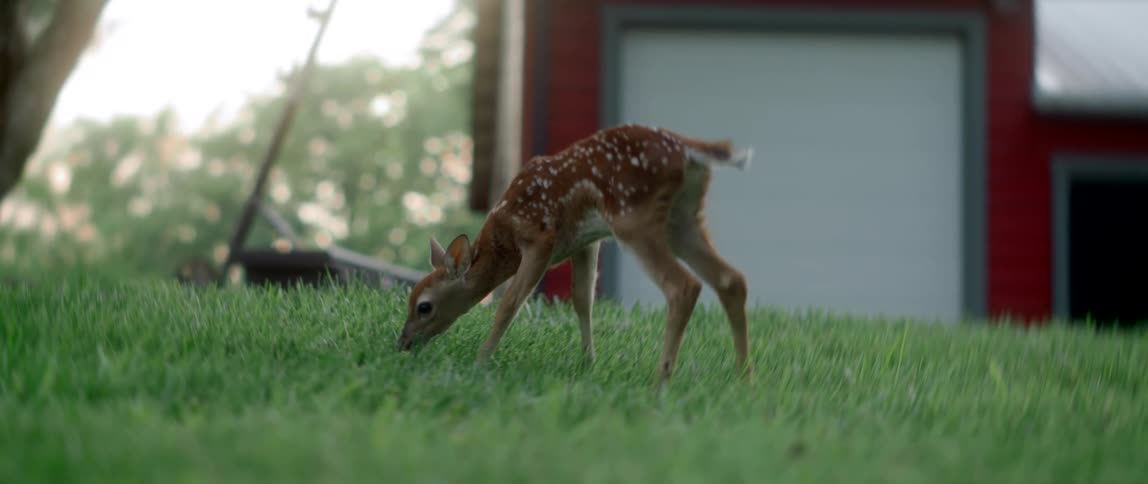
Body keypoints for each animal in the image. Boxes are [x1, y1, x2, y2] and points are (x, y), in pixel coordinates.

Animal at [396, 123, 754, 384]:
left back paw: (660, 385)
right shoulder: (584, 242)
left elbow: (510, 303)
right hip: (683, 218)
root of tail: (688, 149)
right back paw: (743, 380)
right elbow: (582, 300)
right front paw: (588, 364)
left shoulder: (540, 238)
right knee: (731, 279)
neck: (503, 239)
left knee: (683, 286)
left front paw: (480, 363)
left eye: (424, 306)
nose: (403, 344)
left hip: (634, 215)